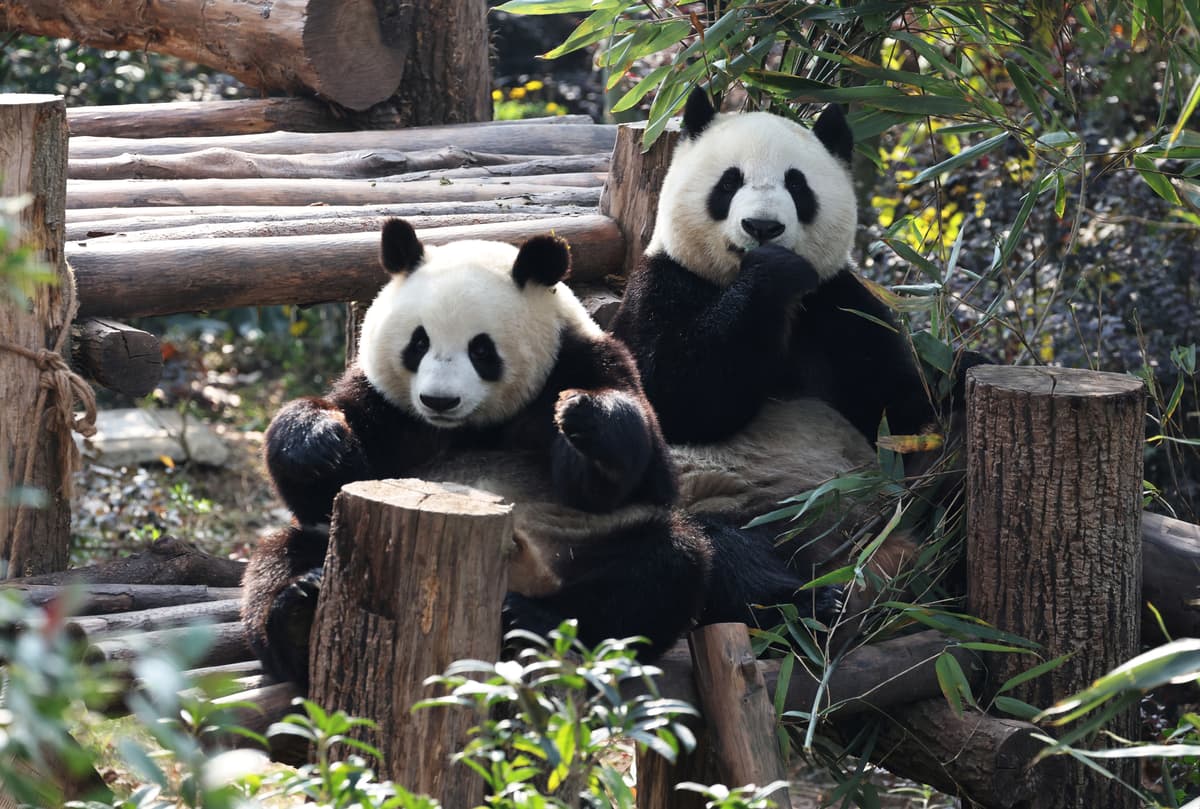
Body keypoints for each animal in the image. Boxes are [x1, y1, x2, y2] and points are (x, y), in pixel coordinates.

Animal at [242, 218, 835, 688]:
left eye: (482, 350)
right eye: (418, 342)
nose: (439, 399)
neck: (474, 427)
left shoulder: (585, 361)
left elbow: (640, 477)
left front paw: (587, 421)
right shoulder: (386, 407)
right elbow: (327, 485)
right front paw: (318, 438)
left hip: (581, 556)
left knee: (666, 566)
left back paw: (533, 622)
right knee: (282, 554)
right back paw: (298, 614)